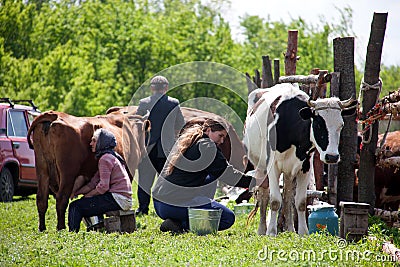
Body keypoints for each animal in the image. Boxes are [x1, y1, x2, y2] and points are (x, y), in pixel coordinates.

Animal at [244, 84, 356, 237]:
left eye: (341, 125)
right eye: (319, 124)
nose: (332, 156)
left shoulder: (305, 167)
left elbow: (300, 202)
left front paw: (303, 232)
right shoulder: (272, 166)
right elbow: (274, 200)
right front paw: (271, 232)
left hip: (288, 172)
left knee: (287, 196)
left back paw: (290, 229)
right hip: (260, 166)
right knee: (264, 194)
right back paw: (262, 230)